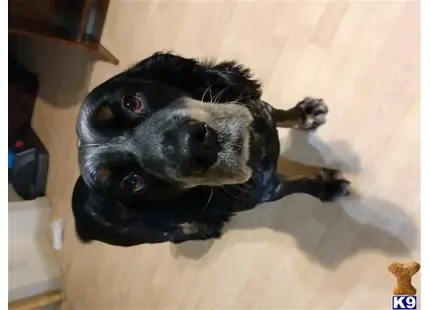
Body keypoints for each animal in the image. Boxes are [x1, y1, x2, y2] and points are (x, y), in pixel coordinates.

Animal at [72, 52, 352, 246]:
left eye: (132, 102)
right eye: (132, 183)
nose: (194, 143)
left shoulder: (261, 110)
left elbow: (278, 114)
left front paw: (306, 113)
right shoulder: (269, 189)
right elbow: (301, 183)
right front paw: (330, 185)